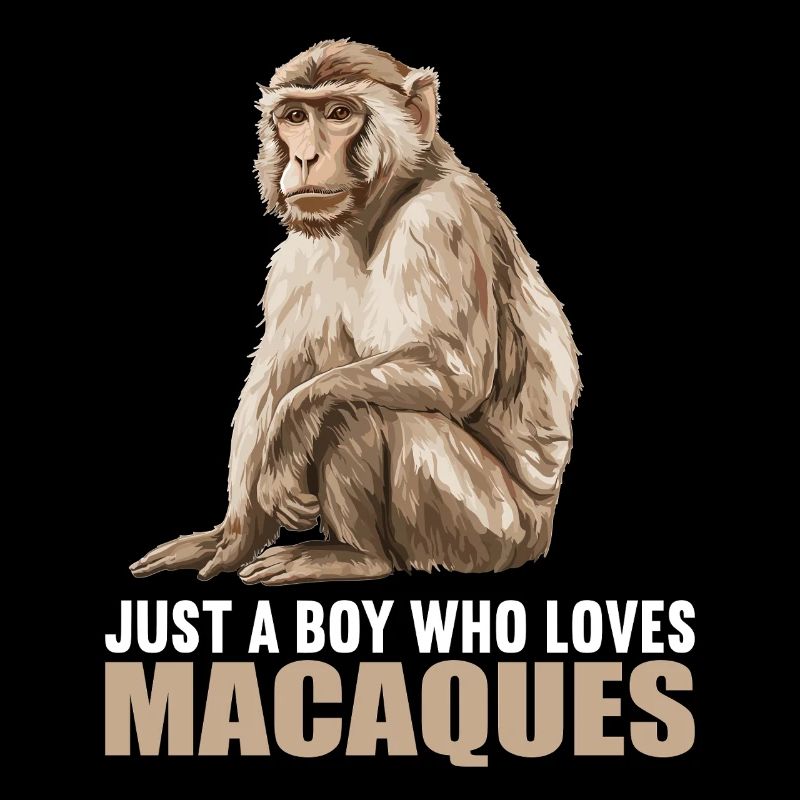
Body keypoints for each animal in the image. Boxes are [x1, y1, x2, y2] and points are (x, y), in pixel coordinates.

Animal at [130, 40, 580, 586]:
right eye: (295, 117)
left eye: (339, 114)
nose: (305, 156)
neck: (380, 207)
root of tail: (540, 530)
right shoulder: (299, 255)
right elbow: (274, 375)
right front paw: (233, 536)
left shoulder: (440, 220)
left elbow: (453, 376)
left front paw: (289, 433)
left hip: (487, 530)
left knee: (357, 404)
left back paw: (358, 556)